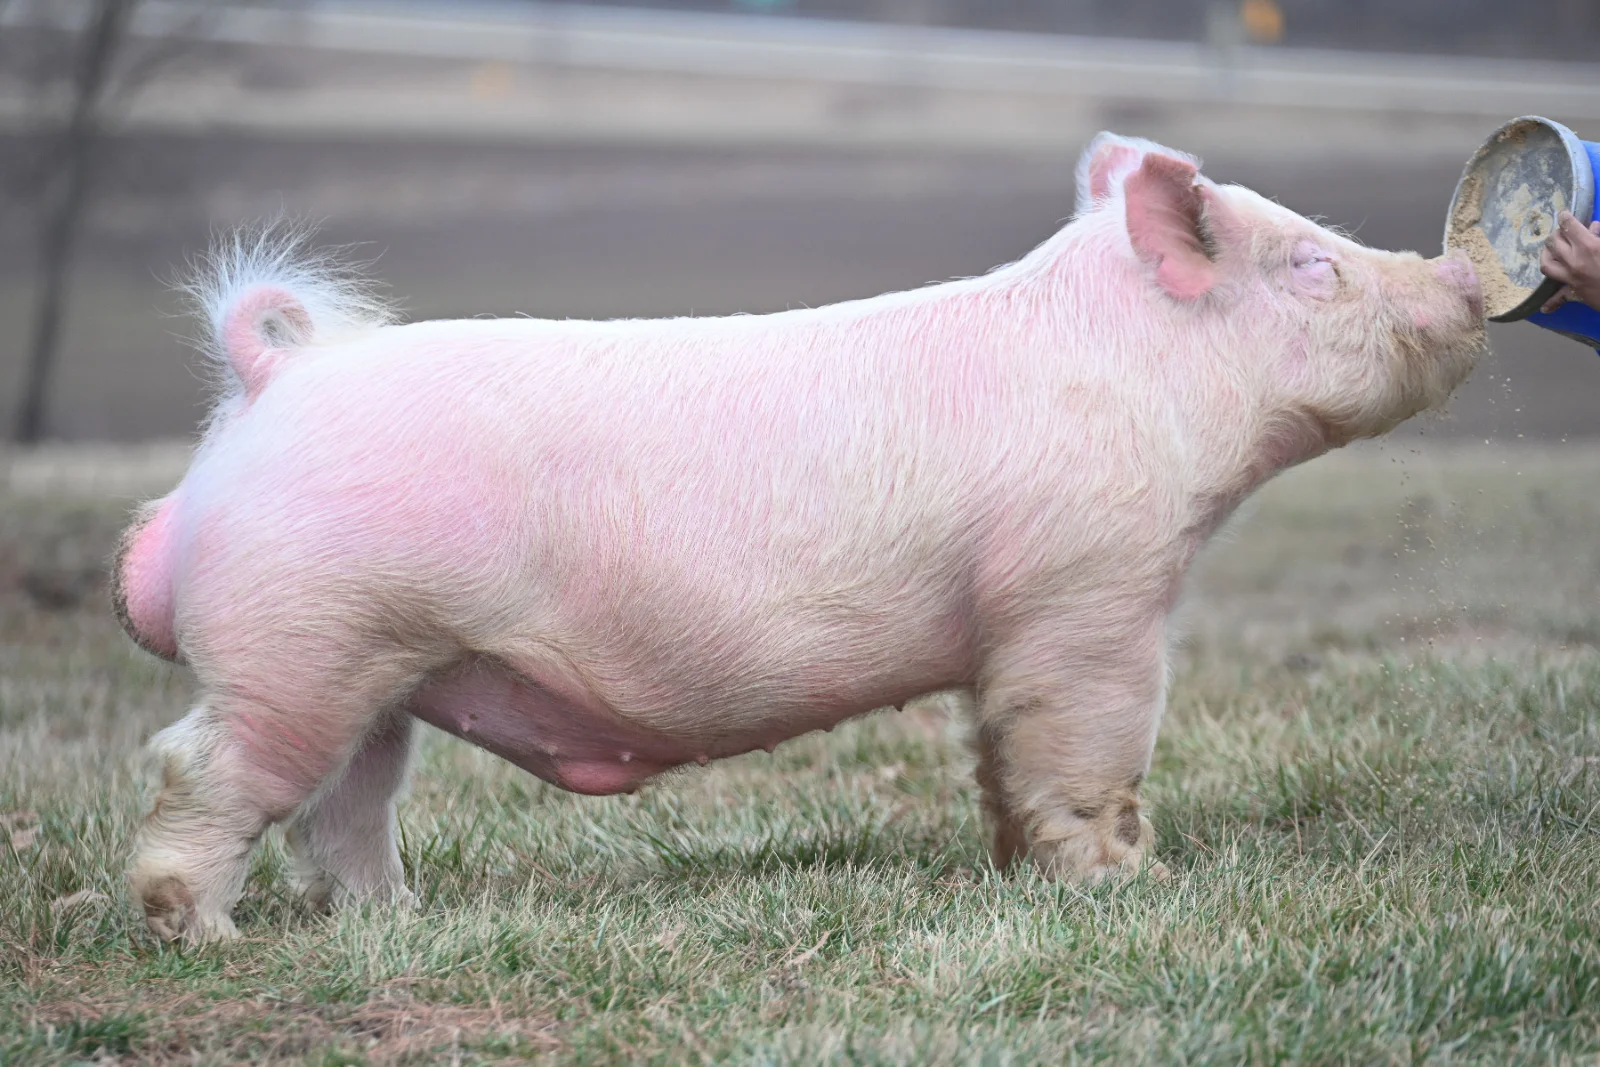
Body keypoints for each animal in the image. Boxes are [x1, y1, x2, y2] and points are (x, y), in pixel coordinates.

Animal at [115, 133, 1485, 943]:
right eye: (1312, 264)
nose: (1464, 284)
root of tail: (273, 381)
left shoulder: (1008, 630)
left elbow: (997, 747)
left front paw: (1014, 865)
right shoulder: (1087, 590)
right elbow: (1089, 739)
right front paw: (1127, 883)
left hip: (382, 664)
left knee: (342, 805)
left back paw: (395, 920)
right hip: (301, 642)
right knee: (202, 767)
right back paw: (206, 932)